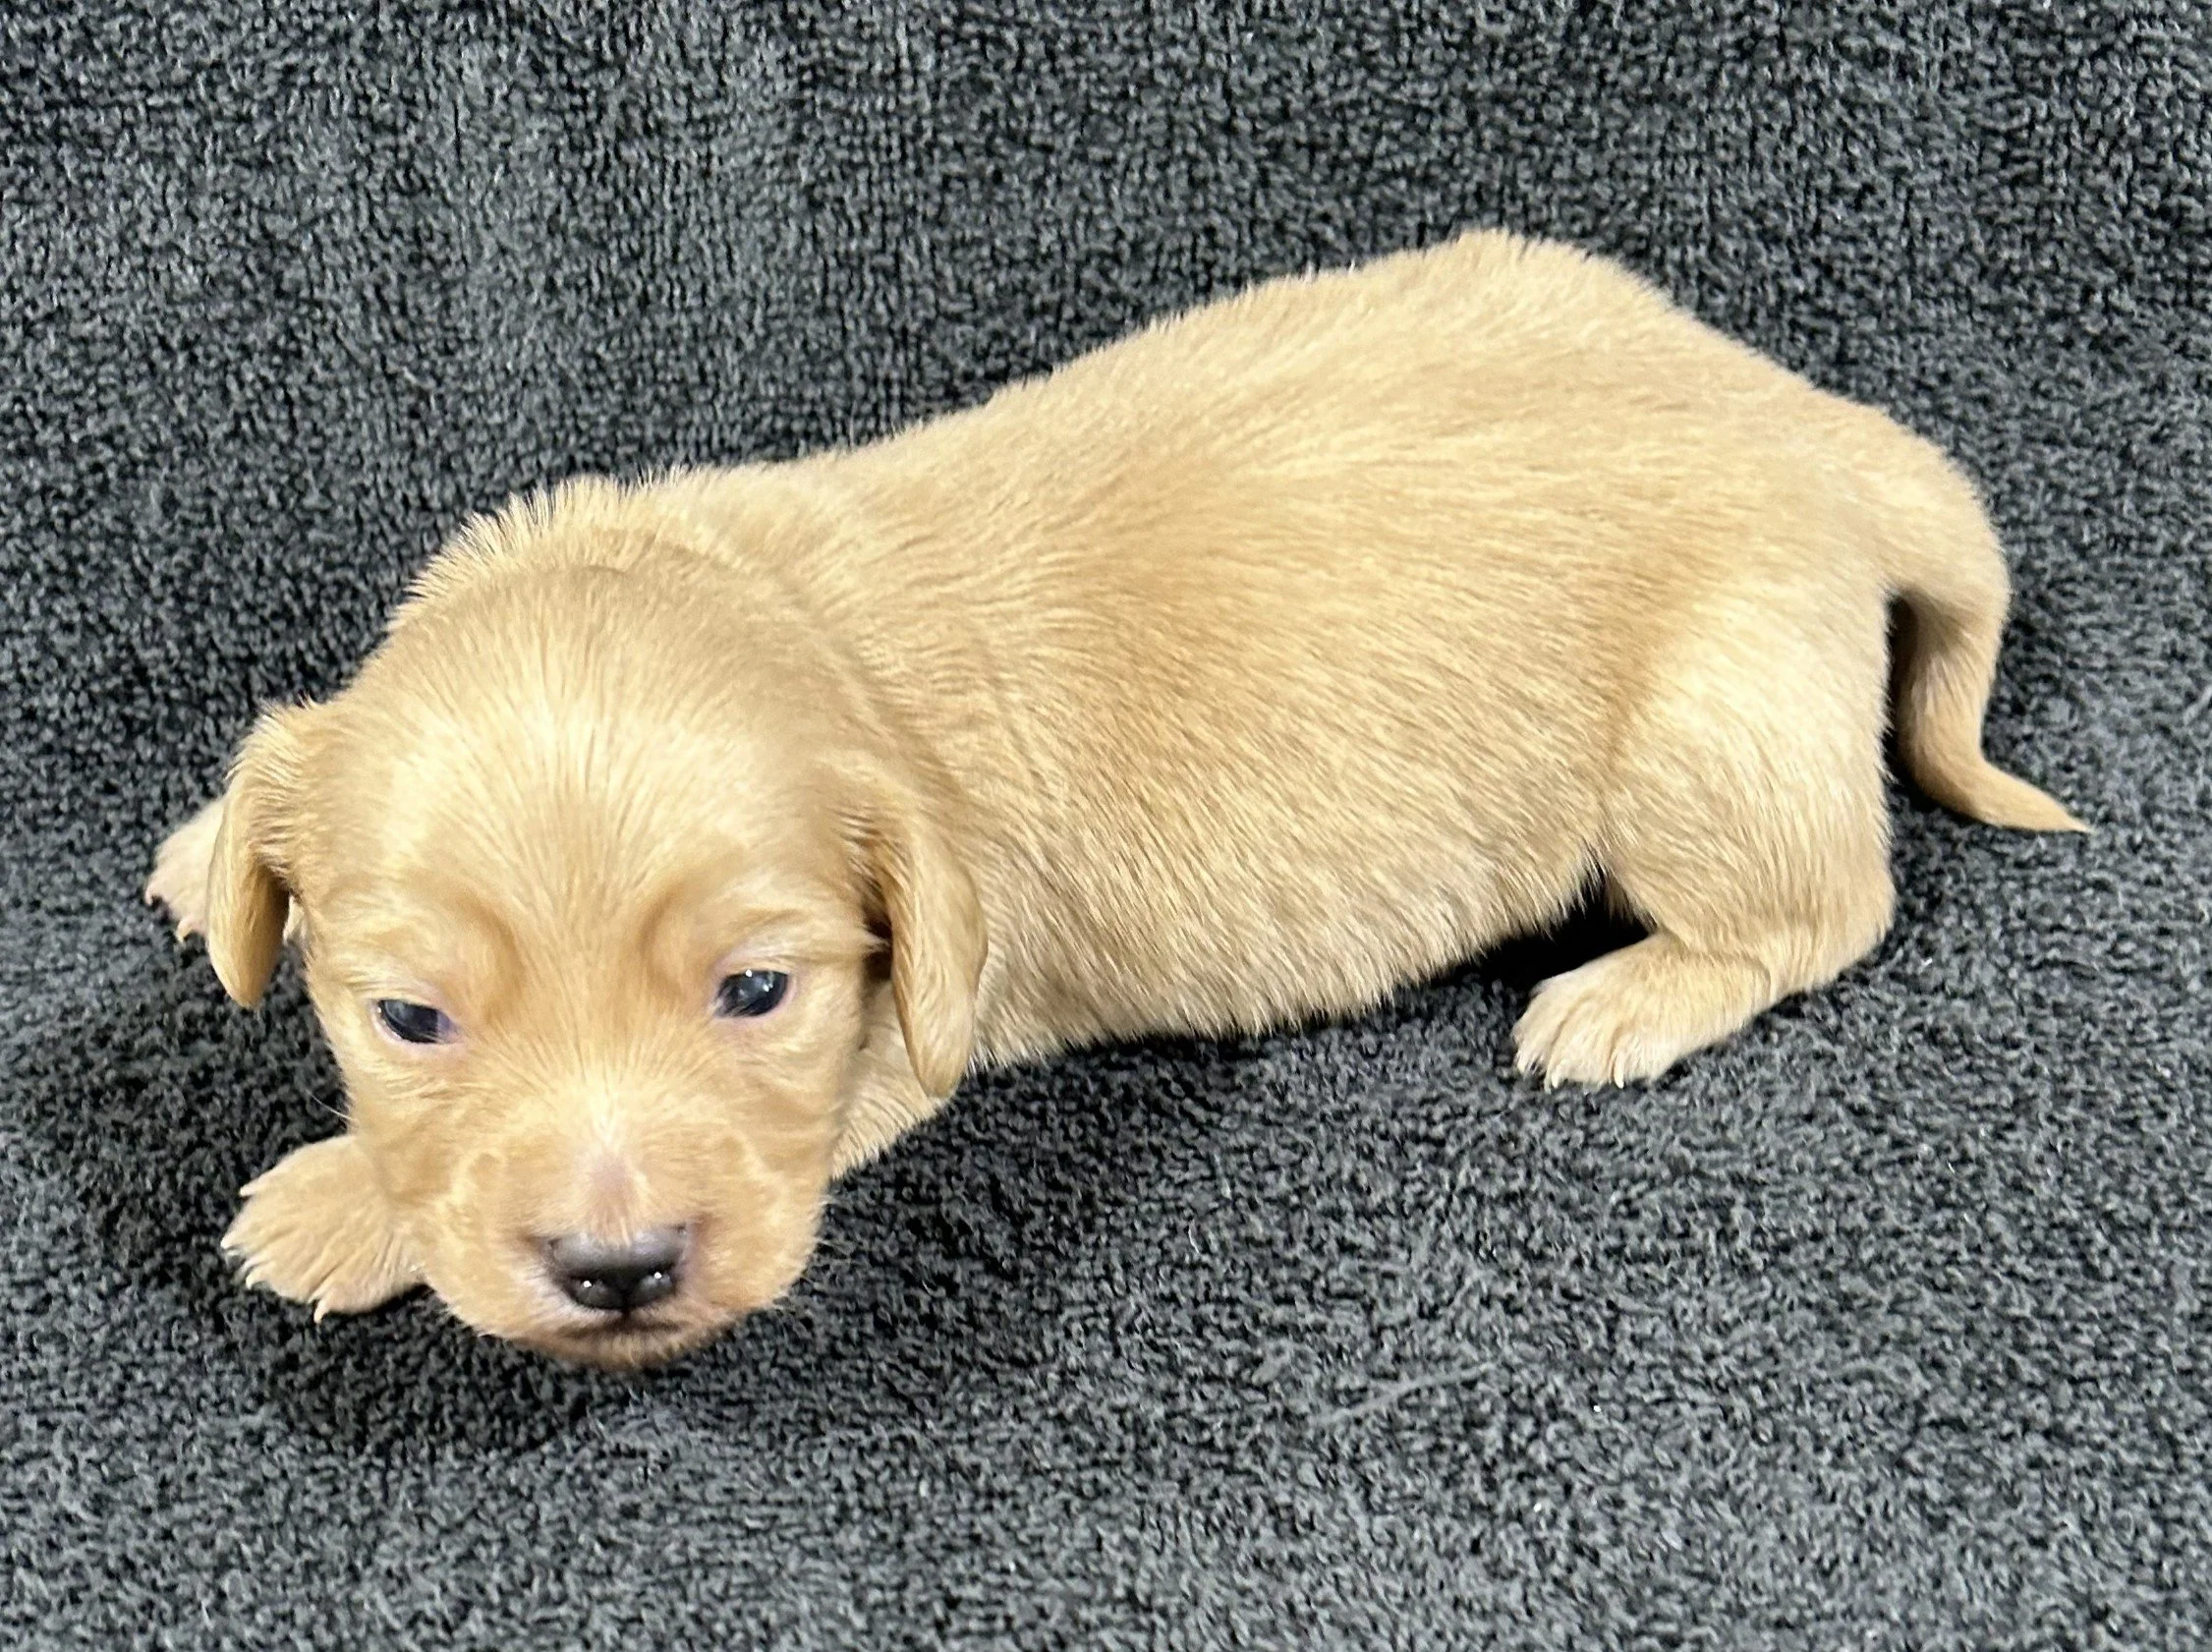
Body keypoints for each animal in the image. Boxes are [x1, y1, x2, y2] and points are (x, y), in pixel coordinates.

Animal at [146, 230, 2081, 1367]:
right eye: (408, 1019)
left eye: (758, 992)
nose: (616, 1269)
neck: (790, 620)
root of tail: (1811, 427)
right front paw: (201, 867)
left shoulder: (900, 1036)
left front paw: (329, 1201)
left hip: (1707, 737)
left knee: (1826, 903)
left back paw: (1625, 998)